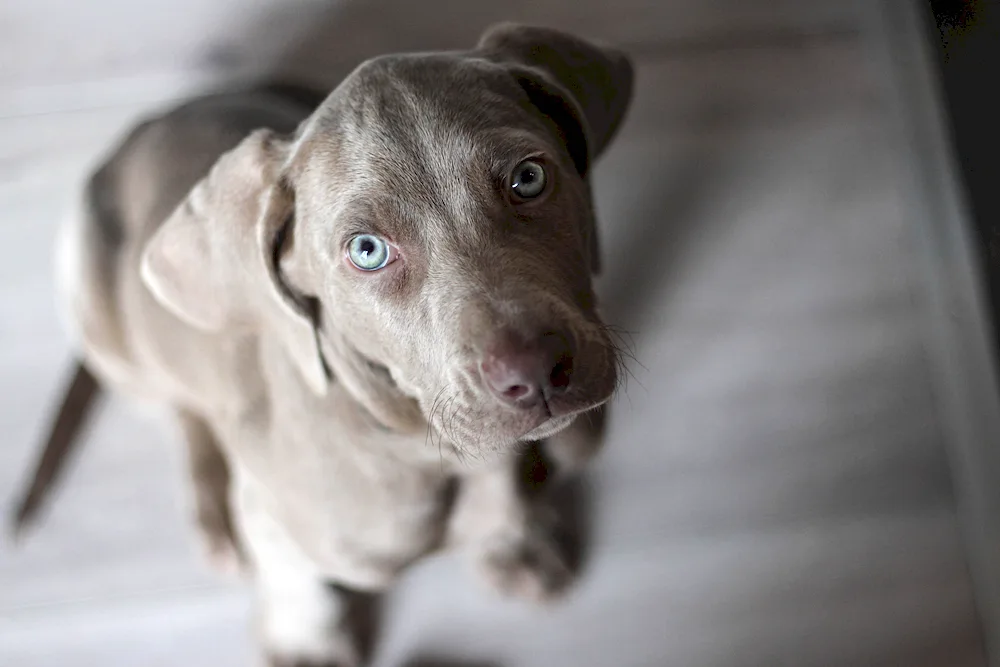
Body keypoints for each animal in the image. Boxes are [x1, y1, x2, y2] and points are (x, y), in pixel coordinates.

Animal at [9, 23, 632, 664]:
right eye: (367, 251)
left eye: (528, 179)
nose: (534, 372)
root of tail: (146, 125)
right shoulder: (276, 516)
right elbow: (296, 576)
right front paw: (305, 641)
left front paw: (514, 545)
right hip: (95, 307)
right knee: (181, 411)